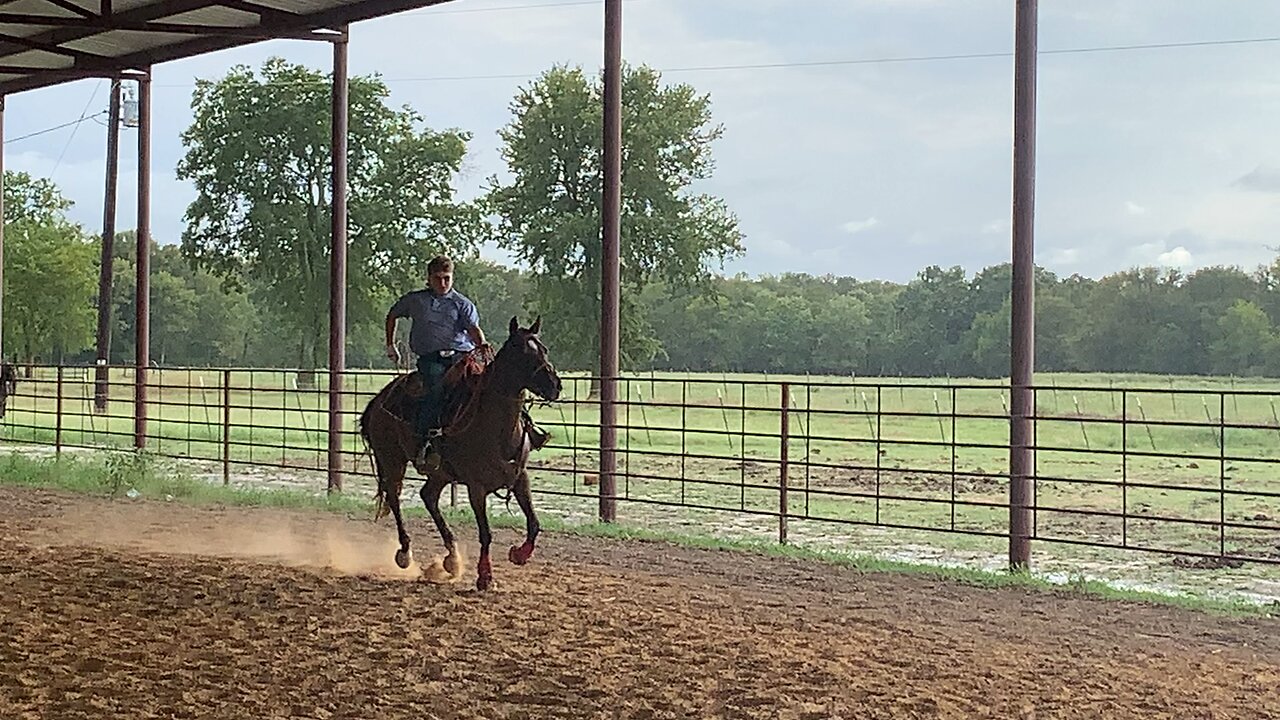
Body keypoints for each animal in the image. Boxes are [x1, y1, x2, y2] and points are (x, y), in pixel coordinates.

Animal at [358, 313, 563, 589]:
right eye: (520, 350)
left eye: (544, 349)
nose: (555, 386)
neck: (495, 425)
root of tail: (380, 399)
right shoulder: (476, 486)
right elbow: (486, 533)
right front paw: (485, 577)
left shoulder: (520, 477)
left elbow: (534, 523)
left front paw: (519, 554)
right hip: (391, 459)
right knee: (394, 496)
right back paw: (405, 552)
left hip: (440, 472)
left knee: (428, 496)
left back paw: (452, 558)